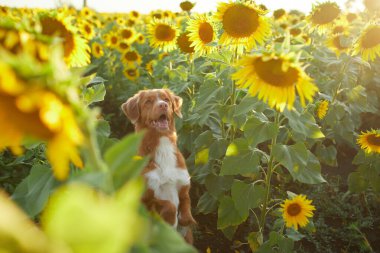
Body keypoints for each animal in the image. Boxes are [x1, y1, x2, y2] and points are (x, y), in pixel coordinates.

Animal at [121, 88, 196, 243]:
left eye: (166, 99)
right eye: (148, 101)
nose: (163, 105)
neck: (163, 146)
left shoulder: (184, 188)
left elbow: (186, 208)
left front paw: (186, 222)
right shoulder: (144, 199)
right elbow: (169, 205)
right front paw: (171, 222)